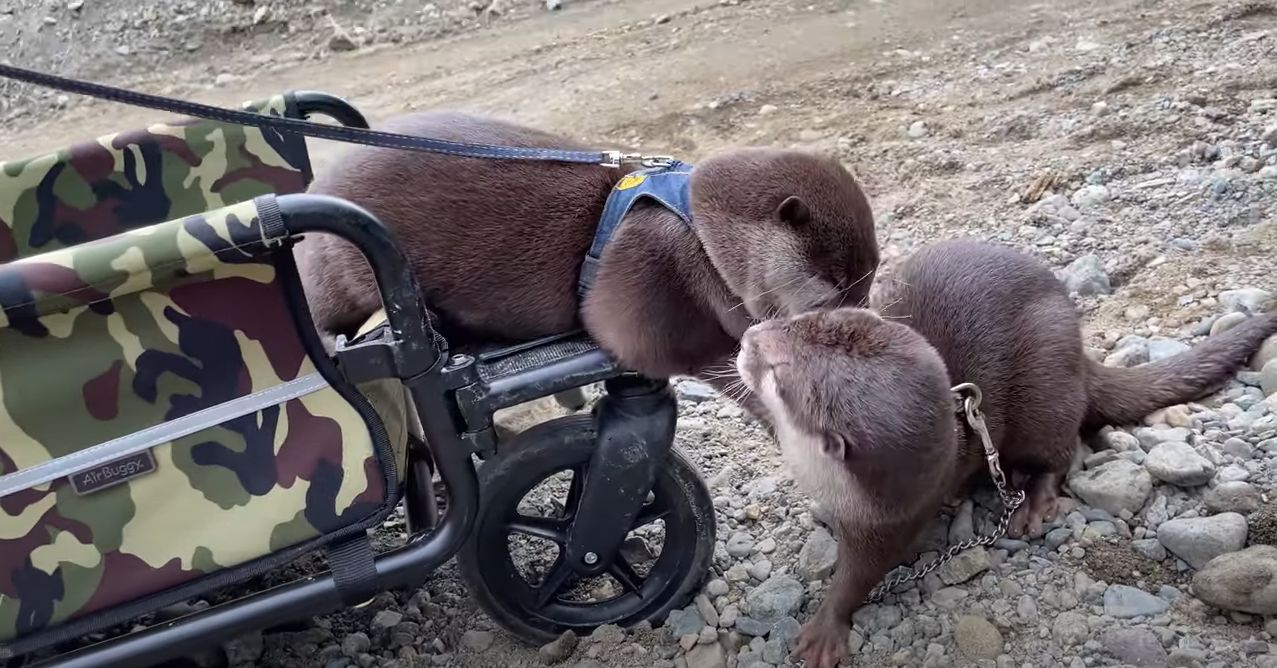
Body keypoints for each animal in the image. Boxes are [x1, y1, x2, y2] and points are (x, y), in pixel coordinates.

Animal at [295, 112, 878, 415]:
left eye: (867, 283)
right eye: (830, 286)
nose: (859, 321)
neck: (700, 226)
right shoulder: (659, 279)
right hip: (338, 265)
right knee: (320, 311)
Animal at [736, 239, 1277, 668]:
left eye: (777, 373)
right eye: (801, 319)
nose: (746, 338)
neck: (820, 475)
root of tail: (1080, 350)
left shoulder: (893, 516)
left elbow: (860, 574)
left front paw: (825, 627)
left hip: (1047, 389)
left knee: (1060, 451)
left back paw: (1033, 502)